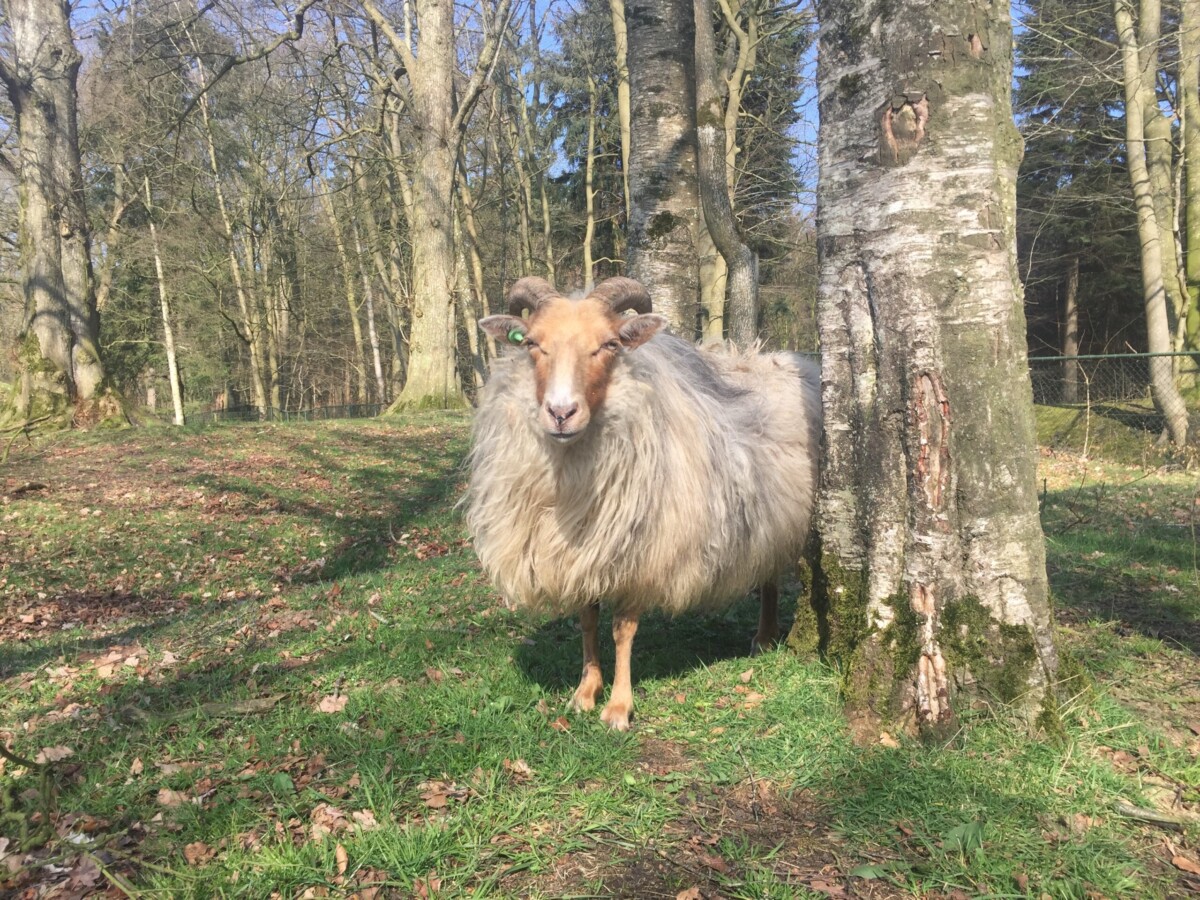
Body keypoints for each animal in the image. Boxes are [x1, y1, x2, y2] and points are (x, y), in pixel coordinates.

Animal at [463, 277, 820, 734]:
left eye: (610, 344)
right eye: (531, 344)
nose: (561, 413)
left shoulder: (641, 553)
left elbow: (622, 630)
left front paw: (618, 707)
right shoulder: (584, 554)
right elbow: (588, 621)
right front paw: (585, 693)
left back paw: (764, 636)